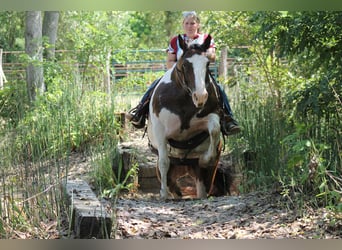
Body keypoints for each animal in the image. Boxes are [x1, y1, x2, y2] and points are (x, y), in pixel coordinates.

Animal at [147, 35, 222, 199]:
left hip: (203, 175)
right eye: (185, 64)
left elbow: (214, 128)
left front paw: (204, 159)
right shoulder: (160, 130)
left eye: (207, 63)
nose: (201, 96)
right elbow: (164, 162)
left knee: (203, 188)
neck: (183, 99)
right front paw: (163, 194)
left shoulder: (209, 117)